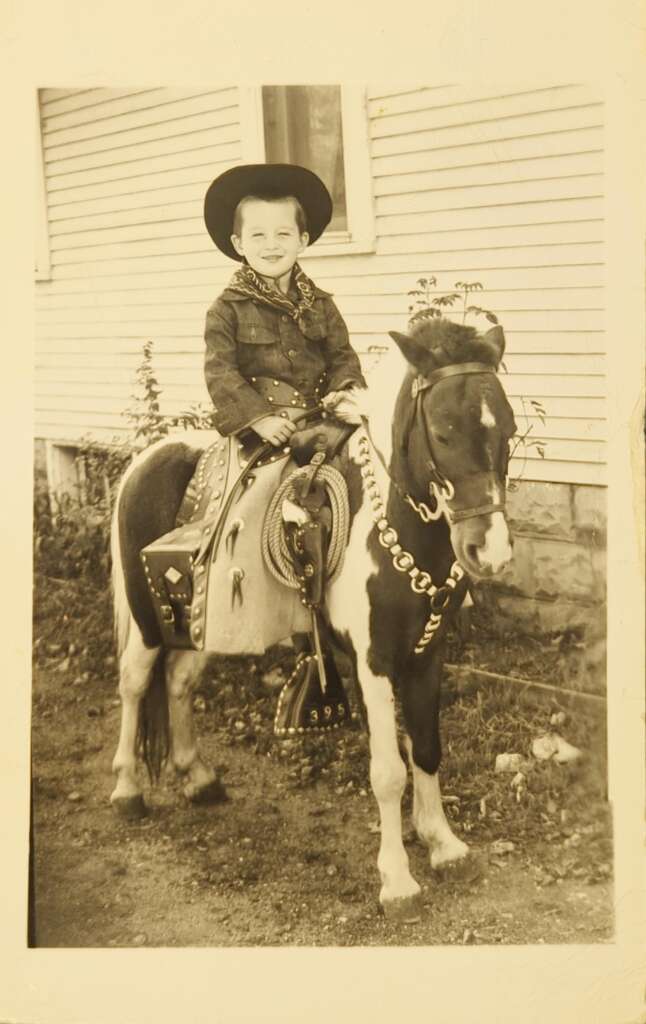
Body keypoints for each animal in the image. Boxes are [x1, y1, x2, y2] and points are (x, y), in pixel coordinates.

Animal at [110, 317, 515, 921]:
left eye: (507, 430)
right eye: (443, 433)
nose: (488, 550)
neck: (390, 522)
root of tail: (150, 455)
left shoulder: (427, 655)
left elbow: (426, 748)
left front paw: (443, 844)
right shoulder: (372, 662)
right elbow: (388, 771)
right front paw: (397, 880)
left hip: (204, 625)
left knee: (179, 682)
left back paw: (199, 779)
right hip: (146, 619)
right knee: (135, 682)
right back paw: (127, 790)